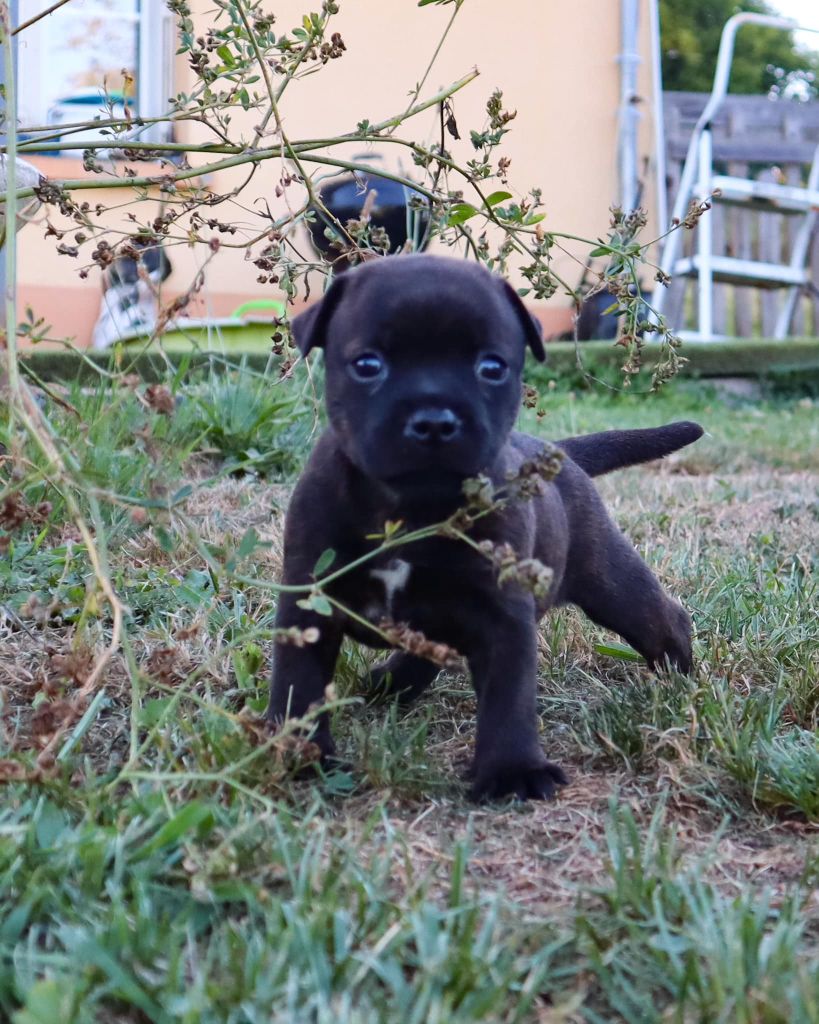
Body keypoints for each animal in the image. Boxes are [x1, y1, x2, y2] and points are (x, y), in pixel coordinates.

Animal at [270, 253, 704, 798]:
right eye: (367, 365)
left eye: (491, 367)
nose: (434, 420)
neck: (410, 511)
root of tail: (559, 454)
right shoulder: (309, 600)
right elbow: (299, 685)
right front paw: (303, 757)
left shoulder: (502, 615)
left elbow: (508, 696)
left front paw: (512, 770)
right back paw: (390, 683)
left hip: (610, 581)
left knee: (659, 618)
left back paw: (679, 679)